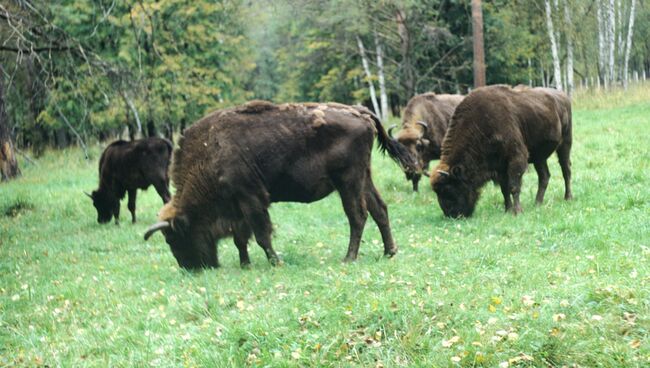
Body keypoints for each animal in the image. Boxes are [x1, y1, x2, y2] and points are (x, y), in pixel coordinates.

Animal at [142, 100, 416, 270]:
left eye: (173, 238)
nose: (191, 268)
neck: (211, 150)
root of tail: (360, 112)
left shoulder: (251, 199)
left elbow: (262, 235)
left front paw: (276, 262)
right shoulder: (238, 207)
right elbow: (241, 238)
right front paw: (245, 264)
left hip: (348, 181)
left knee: (357, 215)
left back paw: (349, 258)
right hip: (363, 179)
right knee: (379, 209)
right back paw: (389, 252)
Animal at [430, 85, 572, 218]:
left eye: (449, 188)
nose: (451, 214)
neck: (480, 124)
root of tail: (563, 96)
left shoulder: (516, 158)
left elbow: (514, 186)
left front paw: (517, 211)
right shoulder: (500, 167)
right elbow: (504, 189)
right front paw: (508, 210)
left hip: (565, 144)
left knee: (566, 170)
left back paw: (568, 197)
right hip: (539, 156)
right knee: (544, 176)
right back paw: (537, 203)